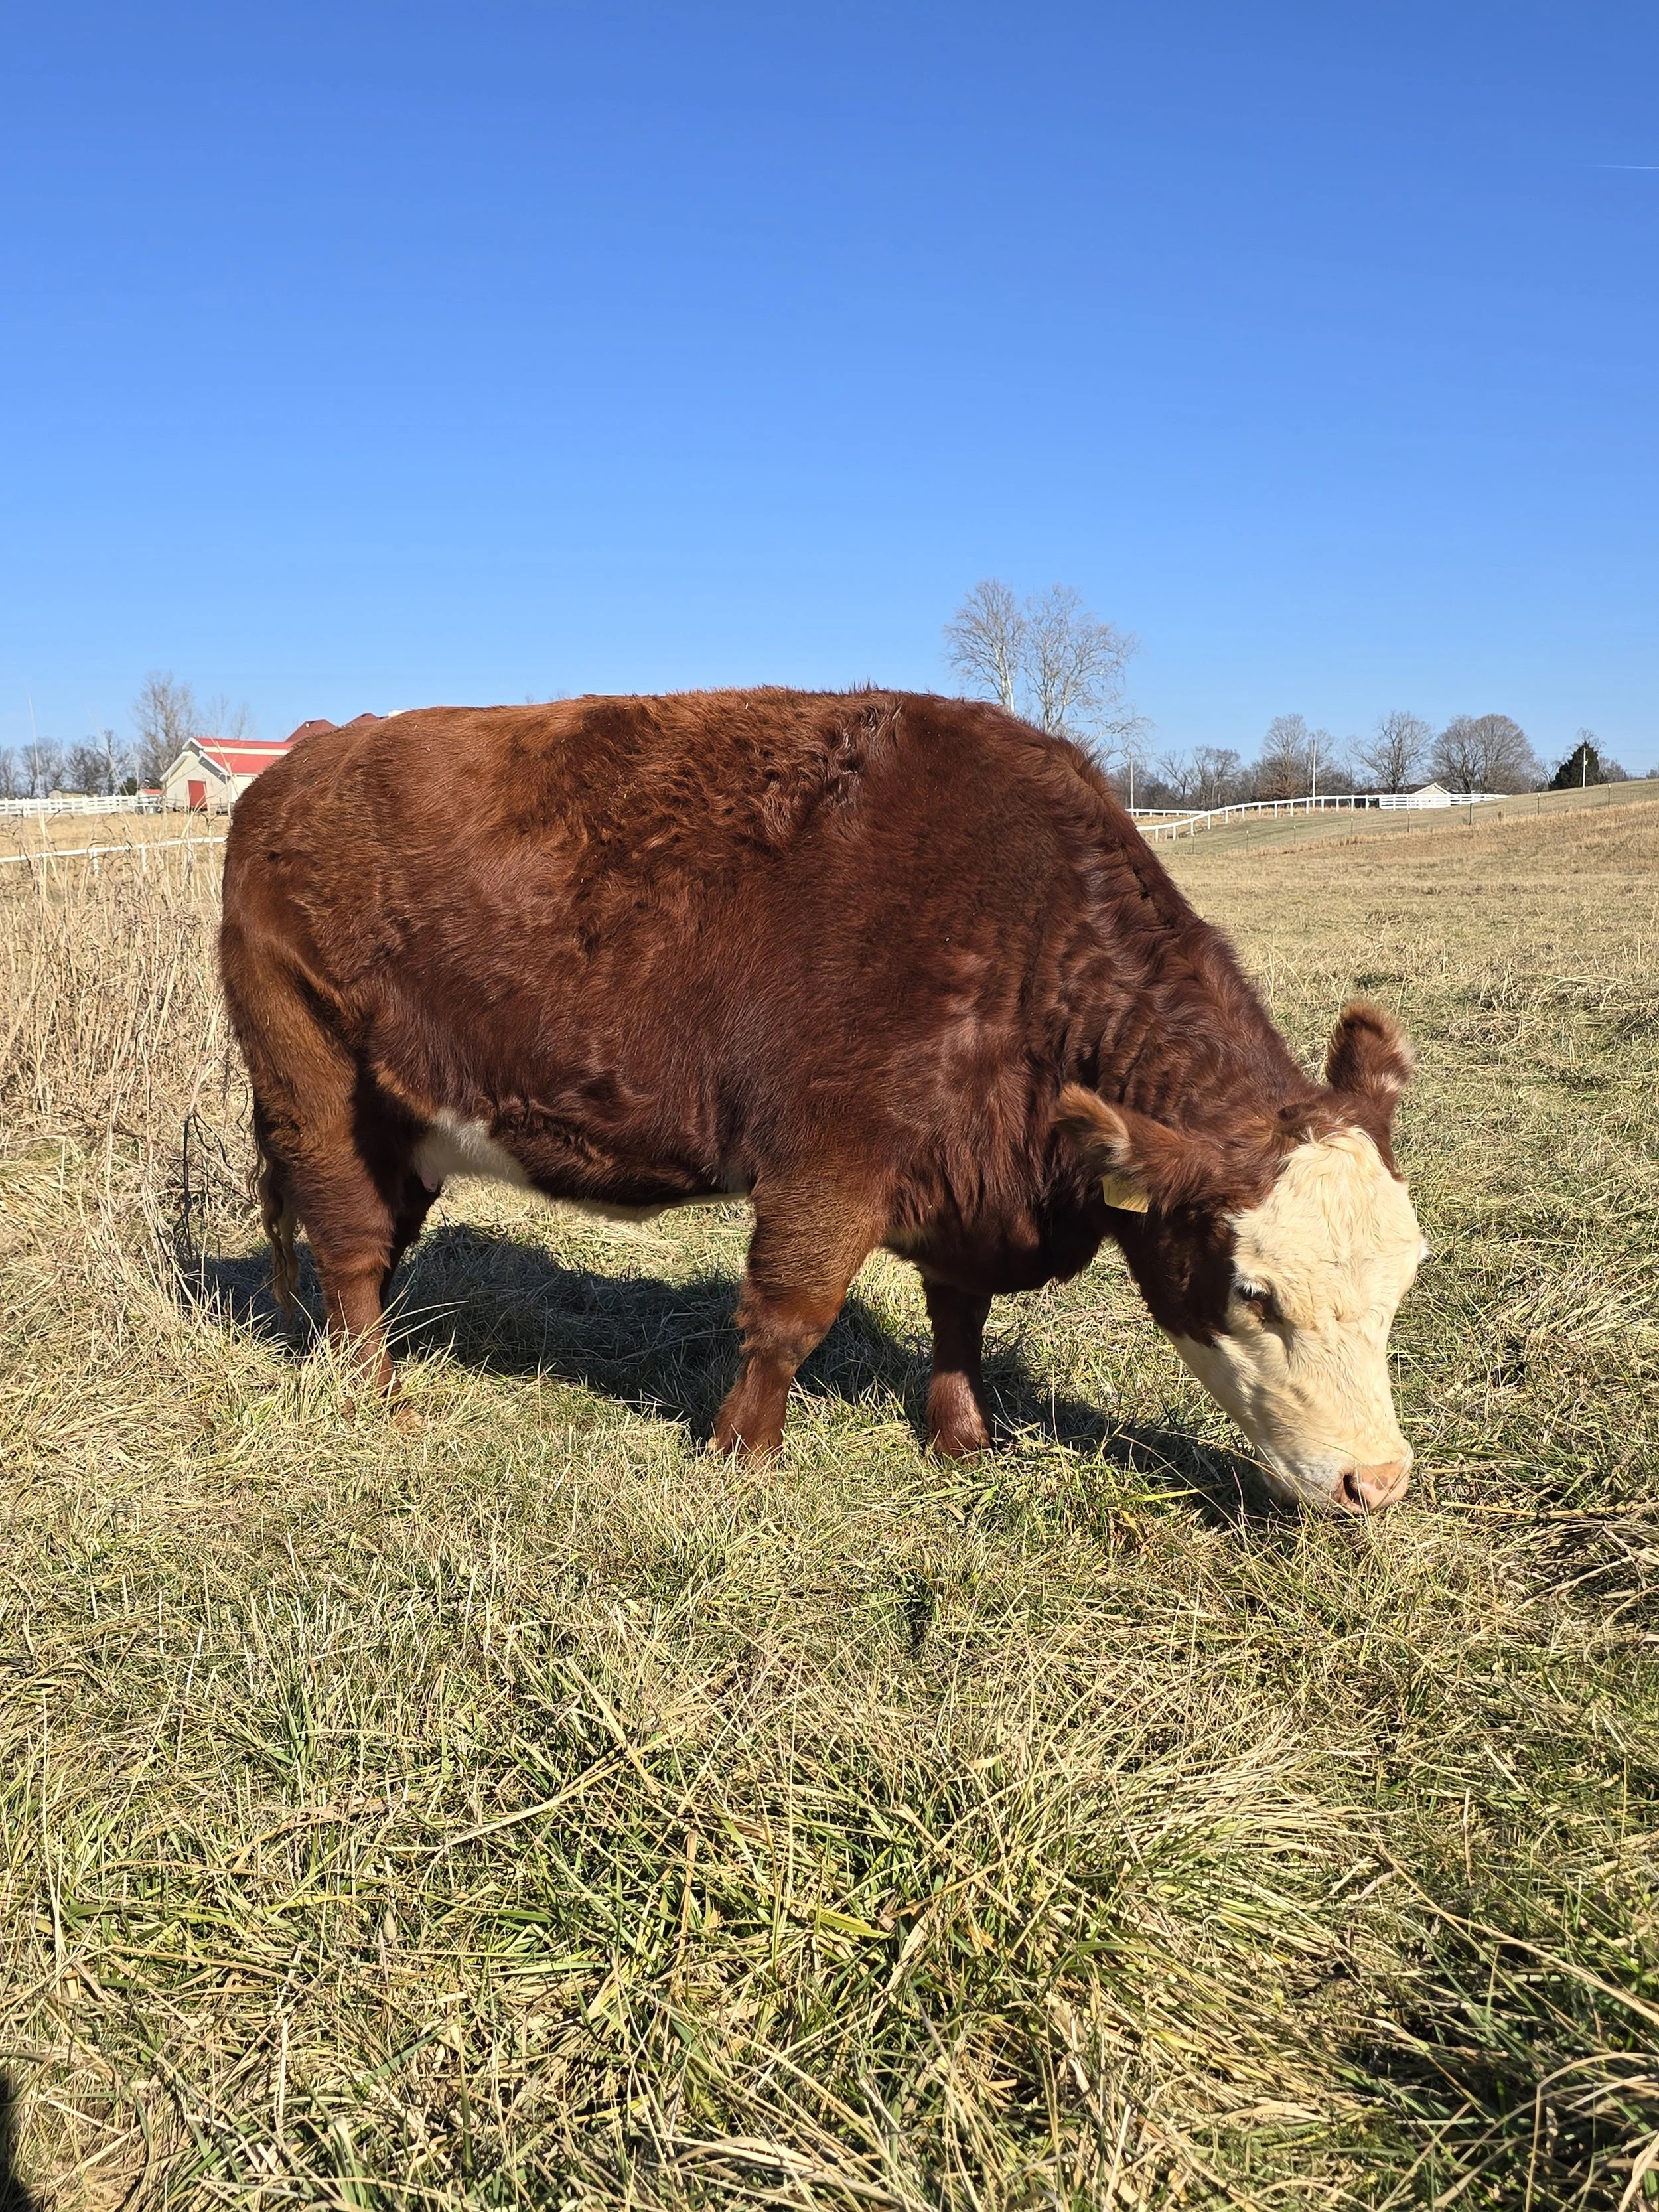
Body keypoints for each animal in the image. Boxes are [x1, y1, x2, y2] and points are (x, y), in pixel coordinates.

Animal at [219, 688, 1426, 1514]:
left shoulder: (963, 1175)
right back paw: (376, 1395)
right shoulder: (832, 1151)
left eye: (1405, 1281)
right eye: (1255, 1292)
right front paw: (741, 1452)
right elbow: (792, 1311)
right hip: (312, 1081)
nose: (1378, 1479)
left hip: (404, 1120)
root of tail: (306, 759)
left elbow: (958, 1311)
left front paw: (963, 1436)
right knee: (350, 1244)